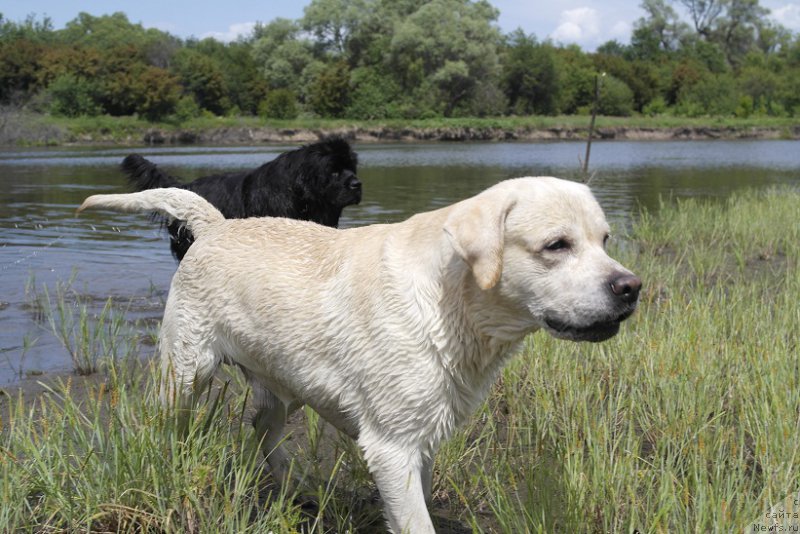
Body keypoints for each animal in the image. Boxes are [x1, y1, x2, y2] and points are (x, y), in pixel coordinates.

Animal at [79, 178, 636, 532]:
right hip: (185, 372)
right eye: (556, 245)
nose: (631, 287)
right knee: (168, 423)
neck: (452, 302)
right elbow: (415, 523)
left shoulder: (421, 439)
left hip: (282, 385)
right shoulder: (391, 447)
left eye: (605, 239)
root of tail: (217, 225)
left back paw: (294, 487)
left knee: (262, 430)